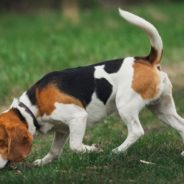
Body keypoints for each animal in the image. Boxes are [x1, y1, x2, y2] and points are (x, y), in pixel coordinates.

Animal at [0, 9, 184, 168]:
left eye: (2, 142)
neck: (32, 105)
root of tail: (147, 60)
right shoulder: (62, 129)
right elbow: (54, 151)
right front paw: (44, 162)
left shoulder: (78, 117)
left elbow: (75, 146)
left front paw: (93, 150)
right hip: (162, 109)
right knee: (181, 125)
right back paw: (182, 154)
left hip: (125, 105)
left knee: (136, 131)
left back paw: (117, 151)